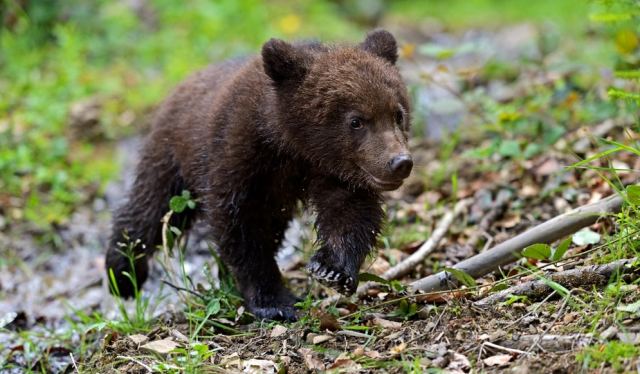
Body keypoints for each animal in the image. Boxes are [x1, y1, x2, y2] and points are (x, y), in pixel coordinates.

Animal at [106, 30, 410, 322]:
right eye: (356, 121)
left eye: (397, 114)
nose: (400, 162)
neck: (292, 146)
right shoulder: (240, 156)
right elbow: (241, 227)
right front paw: (275, 302)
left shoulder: (334, 173)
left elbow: (350, 213)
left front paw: (332, 269)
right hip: (173, 156)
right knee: (152, 208)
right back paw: (123, 273)